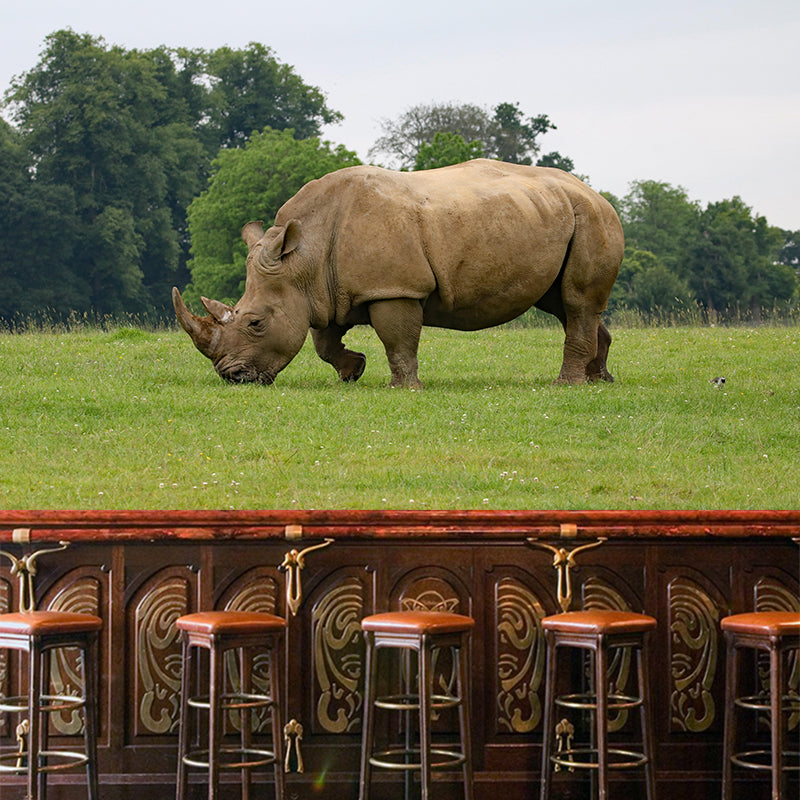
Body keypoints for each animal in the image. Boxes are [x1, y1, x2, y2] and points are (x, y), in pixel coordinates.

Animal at [173, 159, 623, 388]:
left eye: (255, 323)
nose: (232, 378)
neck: (303, 259)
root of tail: (595, 191)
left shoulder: (394, 288)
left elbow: (398, 339)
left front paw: (404, 388)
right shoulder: (324, 291)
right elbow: (323, 341)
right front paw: (352, 372)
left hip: (592, 218)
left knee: (576, 301)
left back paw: (567, 385)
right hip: (554, 214)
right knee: (565, 305)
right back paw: (600, 380)